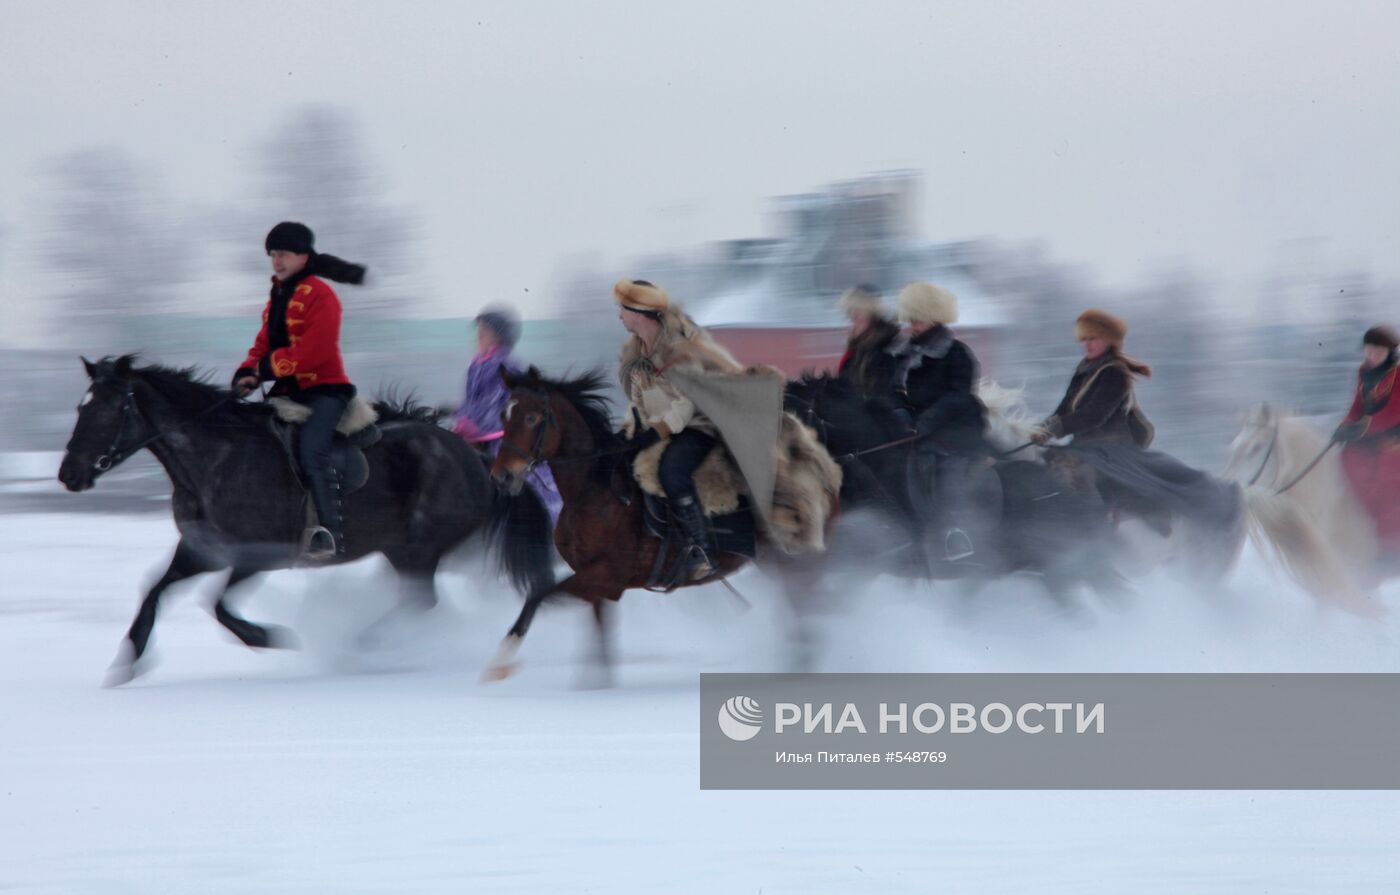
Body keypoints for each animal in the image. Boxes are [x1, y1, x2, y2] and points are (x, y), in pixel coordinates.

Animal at [60, 357, 554, 686]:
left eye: (107, 410)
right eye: (80, 408)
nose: (69, 475)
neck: (216, 458)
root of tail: (478, 458)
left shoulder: (261, 555)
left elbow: (218, 608)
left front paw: (274, 637)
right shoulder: (202, 549)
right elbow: (154, 592)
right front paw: (129, 660)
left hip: (419, 549)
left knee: (420, 601)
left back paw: (362, 645)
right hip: (403, 551)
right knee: (419, 601)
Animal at [484, 366, 828, 683]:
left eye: (531, 418)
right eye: (503, 417)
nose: (502, 476)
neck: (595, 492)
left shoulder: (606, 575)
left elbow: (539, 594)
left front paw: (501, 660)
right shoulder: (598, 585)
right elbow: (599, 638)